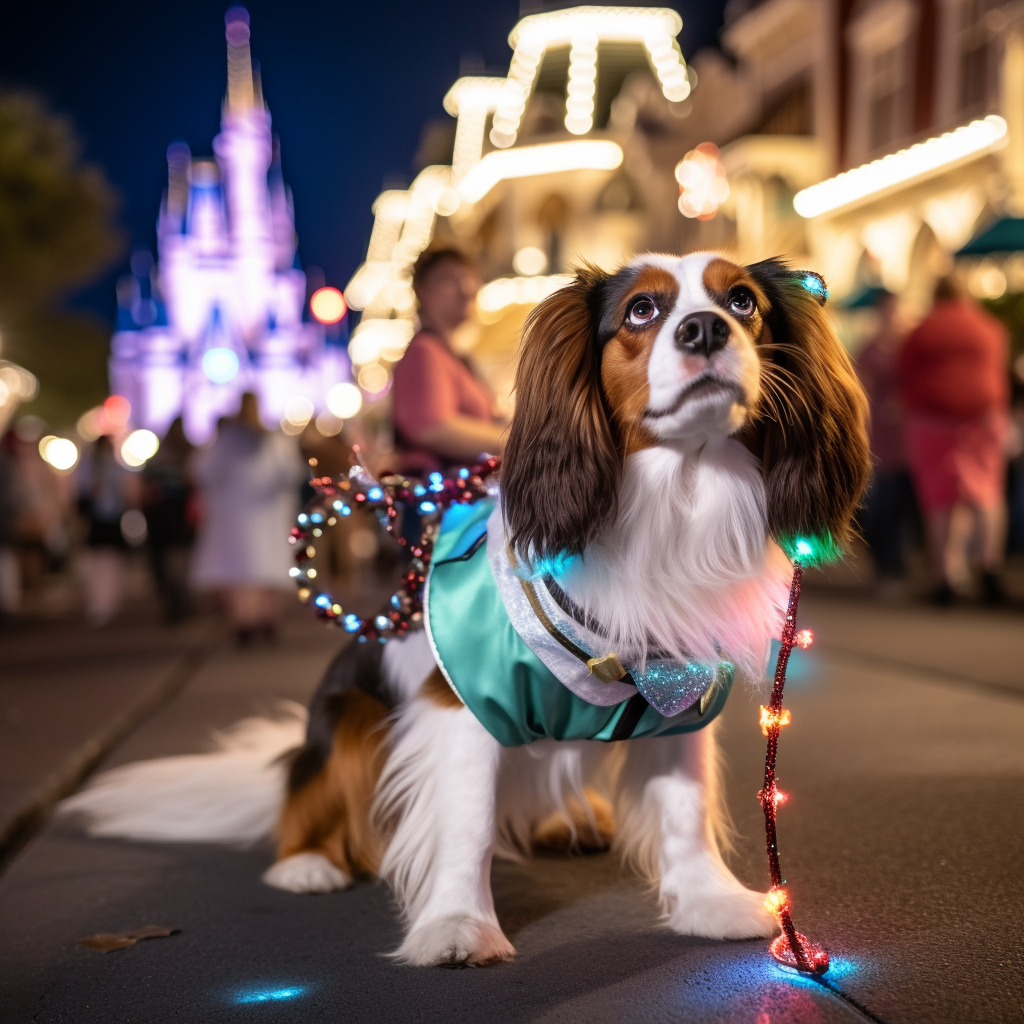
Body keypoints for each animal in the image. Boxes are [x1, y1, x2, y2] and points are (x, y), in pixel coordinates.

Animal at [64, 249, 868, 966]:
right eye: (643, 310)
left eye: (742, 302)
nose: (705, 329)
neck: (677, 492)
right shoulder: (461, 703)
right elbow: (467, 823)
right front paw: (457, 925)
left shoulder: (679, 688)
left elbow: (683, 806)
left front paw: (709, 903)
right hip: (348, 716)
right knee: (312, 796)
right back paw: (310, 861)